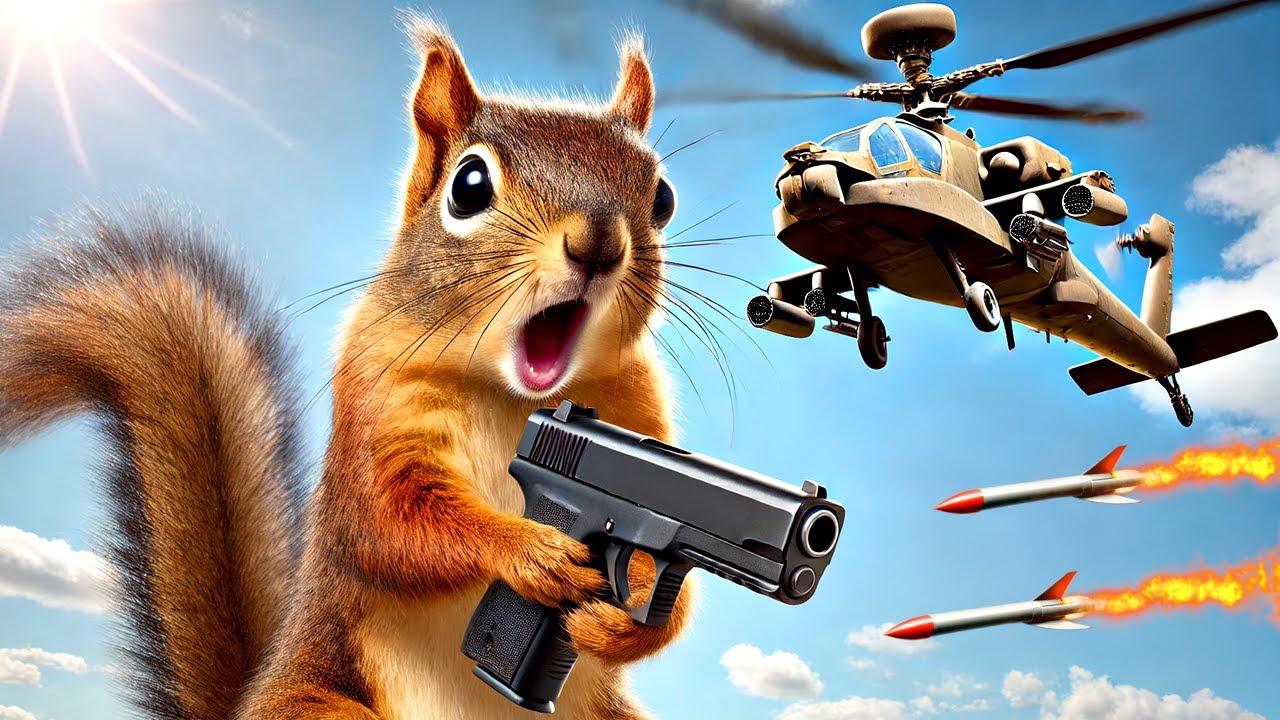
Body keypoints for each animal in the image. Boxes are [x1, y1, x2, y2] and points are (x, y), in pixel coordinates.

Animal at [0, 18, 693, 720]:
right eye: (468, 186)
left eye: (662, 197)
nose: (597, 244)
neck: (516, 398)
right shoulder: (372, 403)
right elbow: (390, 522)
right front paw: (530, 550)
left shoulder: (639, 411)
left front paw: (624, 620)